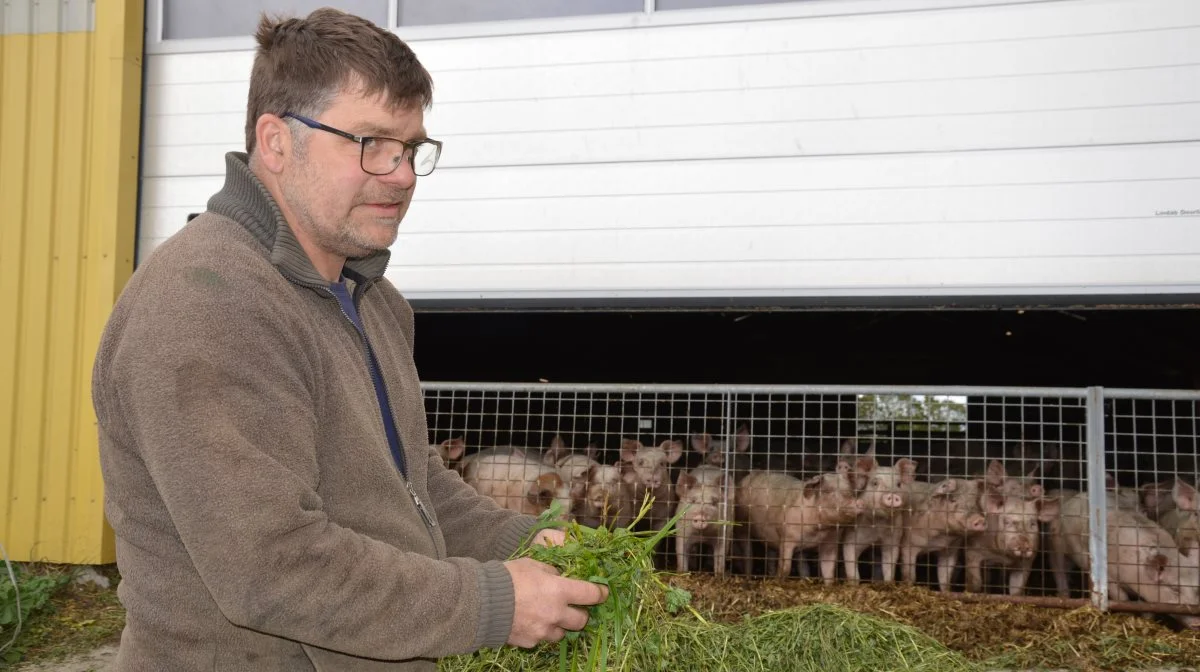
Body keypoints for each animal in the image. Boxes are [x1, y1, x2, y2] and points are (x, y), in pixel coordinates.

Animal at [729, 465, 864, 580]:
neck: (817, 531)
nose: (858, 502)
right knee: (748, 555)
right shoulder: (786, 538)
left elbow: (829, 570)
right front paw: (778, 580)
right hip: (742, 527)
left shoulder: (830, 543)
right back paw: (748, 576)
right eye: (828, 491)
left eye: (851, 490)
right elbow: (785, 568)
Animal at [844, 448, 916, 585]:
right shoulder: (851, 536)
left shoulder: (893, 538)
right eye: (875, 483)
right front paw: (853, 585)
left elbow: (889, 565)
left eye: (898, 484)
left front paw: (888, 584)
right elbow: (851, 564)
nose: (892, 495)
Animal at [1051, 487, 1200, 628]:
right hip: (1058, 541)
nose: (1197, 622)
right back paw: (1064, 595)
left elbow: (1148, 608)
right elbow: (1122, 598)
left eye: (1197, 589)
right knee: (1059, 568)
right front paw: (1127, 614)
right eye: (1175, 589)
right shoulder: (1109, 575)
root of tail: (1077, 497)